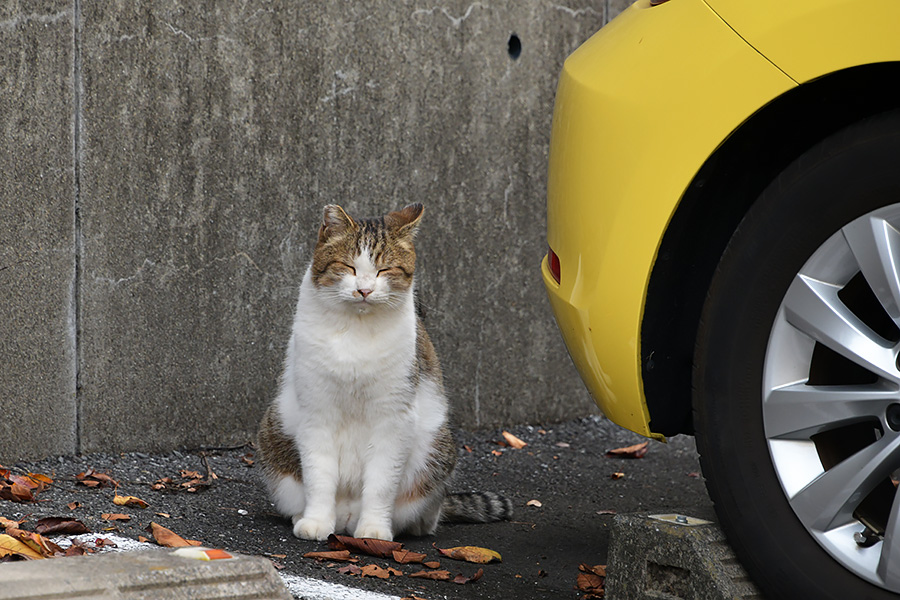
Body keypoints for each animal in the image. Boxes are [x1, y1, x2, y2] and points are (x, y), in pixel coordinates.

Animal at [260, 204, 512, 540]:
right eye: (349, 267)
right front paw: (316, 521)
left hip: (438, 448)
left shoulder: (394, 417)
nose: (364, 290)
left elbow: (381, 484)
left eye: (384, 270)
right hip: (274, 431)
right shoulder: (317, 411)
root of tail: (346, 516)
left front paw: (374, 529)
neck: (356, 330)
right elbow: (319, 477)